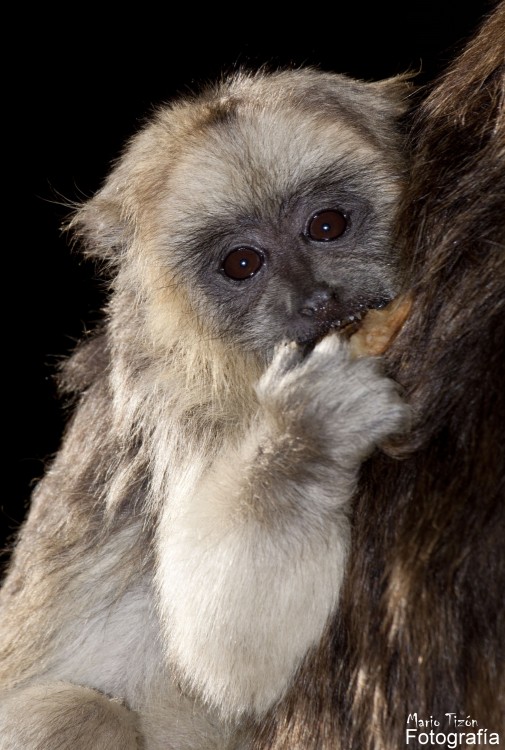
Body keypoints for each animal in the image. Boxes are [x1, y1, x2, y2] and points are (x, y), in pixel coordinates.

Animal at [0, 67, 410, 748]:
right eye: (242, 263)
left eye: (326, 225)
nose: (316, 298)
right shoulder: (177, 402)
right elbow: (229, 649)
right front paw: (309, 430)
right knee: (79, 715)